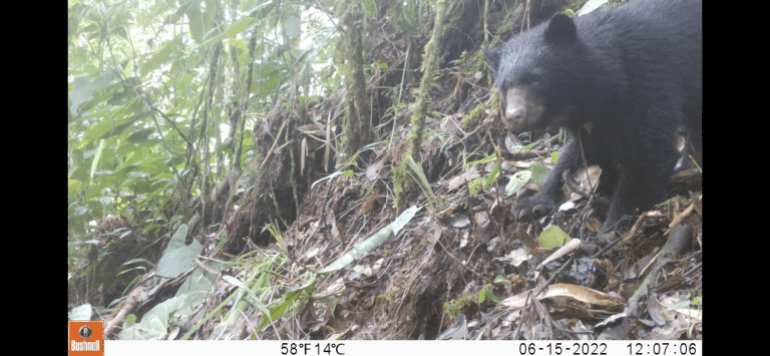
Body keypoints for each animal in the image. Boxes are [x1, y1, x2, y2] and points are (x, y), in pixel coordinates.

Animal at [484, 0, 700, 234]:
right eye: (503, 86)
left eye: (535, 78)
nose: (514, 117)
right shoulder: (594, 118)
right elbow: (586, 149)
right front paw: (532, 203)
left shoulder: (648, 78)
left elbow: (648, 148)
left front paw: (617, 223)